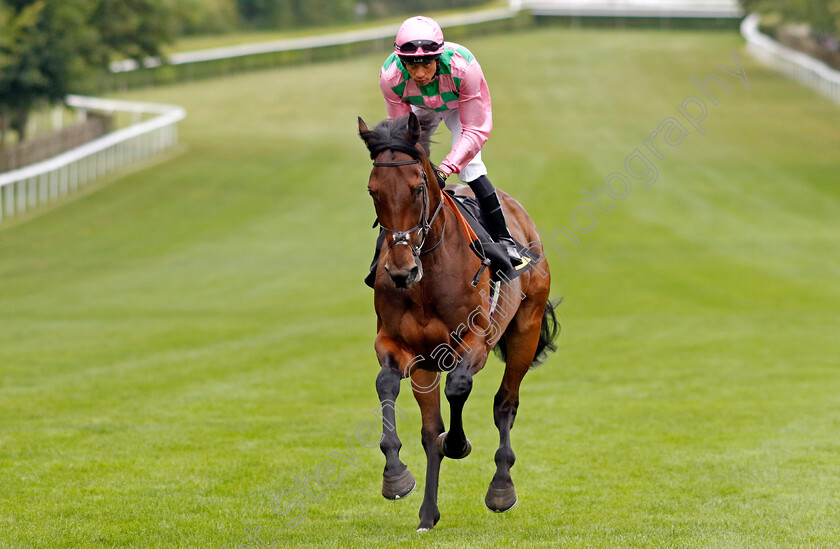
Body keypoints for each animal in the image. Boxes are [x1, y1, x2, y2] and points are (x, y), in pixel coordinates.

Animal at [356, 112, 556, 532]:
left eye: (417, 188)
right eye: (373, 191)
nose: (400, 271)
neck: (427, 277)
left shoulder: (476, 339)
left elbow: (459, 387)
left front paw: (458, 443)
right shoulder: (397, 344)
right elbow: (387, 384)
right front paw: (395, 475)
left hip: (525, 331)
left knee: (505, 403)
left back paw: (501, 488)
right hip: (427, 364)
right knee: (429, 429)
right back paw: (427, 514)